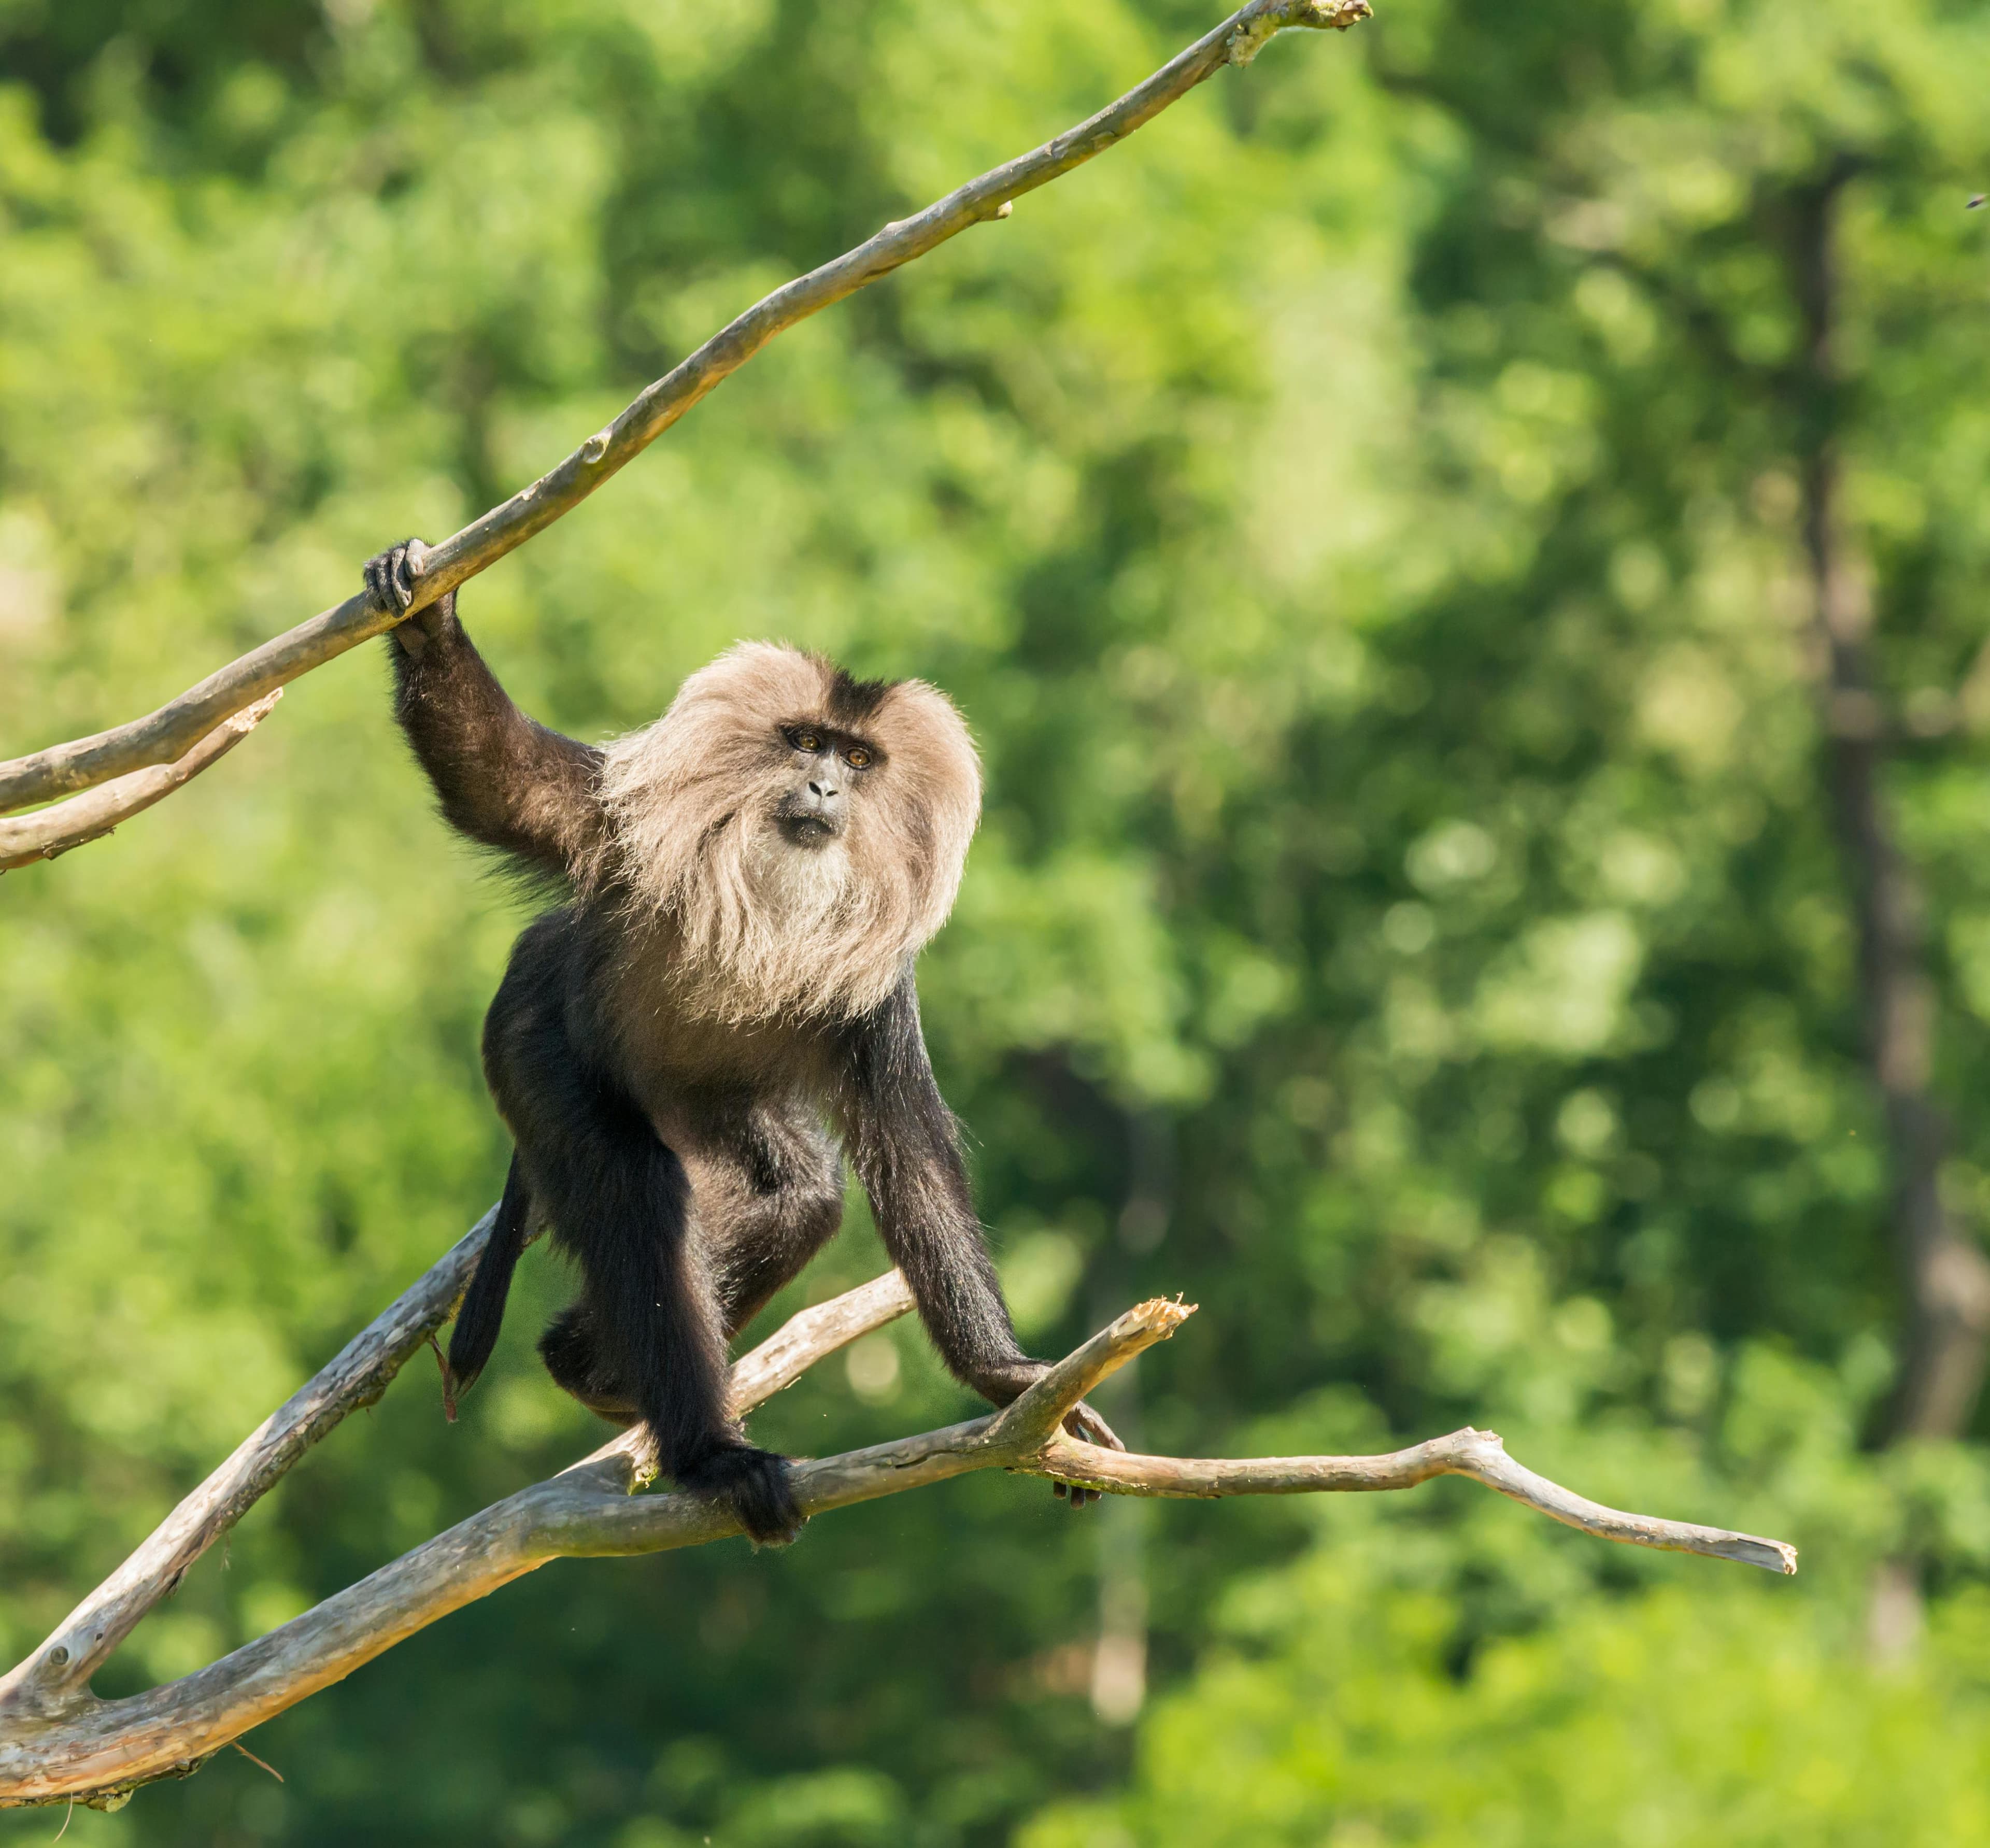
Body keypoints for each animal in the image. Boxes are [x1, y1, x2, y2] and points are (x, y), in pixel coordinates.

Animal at [368, 537, 1130, 1543]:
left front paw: (1009, 1378)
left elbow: (910, 1158)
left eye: (859, 758)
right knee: (634, 1190)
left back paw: (591, 1366)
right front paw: (427, 616)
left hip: (710, 1102)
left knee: (801, 1191)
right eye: (804, 743)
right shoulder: (628, 830)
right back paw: (707, 1452)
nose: (824, 787)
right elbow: (503, 783)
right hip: (534, 1036)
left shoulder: (877, 993)